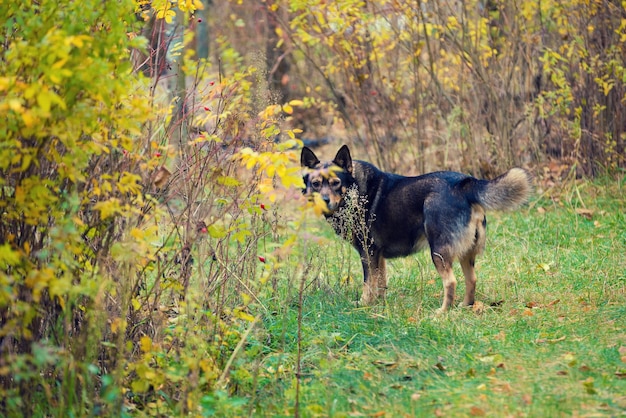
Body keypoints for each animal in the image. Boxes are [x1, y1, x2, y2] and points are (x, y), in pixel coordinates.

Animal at [300, 145, 528, 312]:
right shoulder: (378, 256)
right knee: (471, 279)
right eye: (316, 183)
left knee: (451, 282)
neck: (355, 189)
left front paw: (364, 304)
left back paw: (442, 312)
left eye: (336, 183)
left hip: (438, 252)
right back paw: (464, 307)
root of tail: (465, 185)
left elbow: (368, 283)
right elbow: (380, 282)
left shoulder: (368, 253)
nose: (324, 200)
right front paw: (379, 304)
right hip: (466, 253)